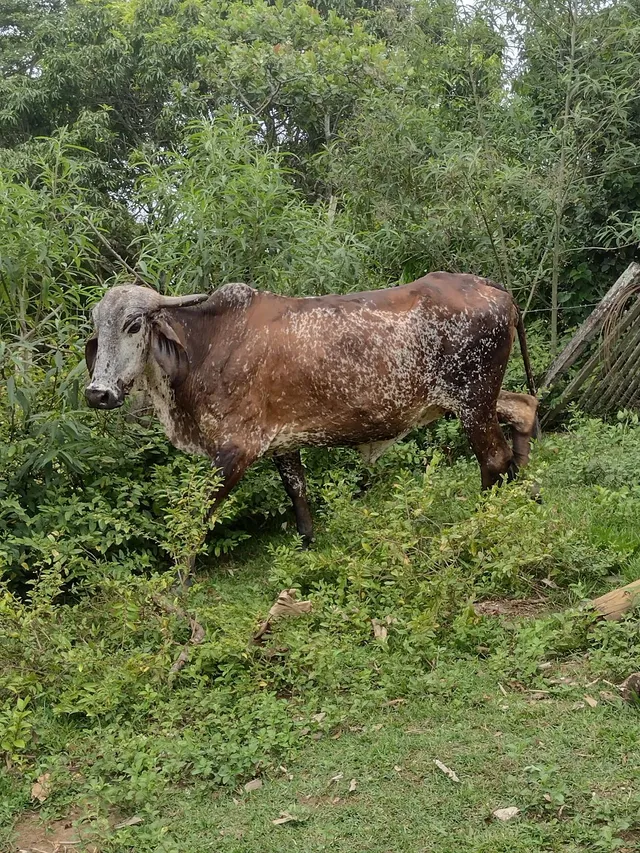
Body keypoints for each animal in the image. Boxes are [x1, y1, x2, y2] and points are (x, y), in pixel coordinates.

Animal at [84, 273, 539, 547]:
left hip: (471, 400)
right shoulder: (283, 442)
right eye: (97, 328)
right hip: (474, 399)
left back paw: (482, 517)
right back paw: (524, 491)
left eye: (133, 325)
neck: (207, 346)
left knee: (493, 457)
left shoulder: (235, 449)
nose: (97, 393)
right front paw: (307, 543)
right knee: (525, 409)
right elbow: (297, 491)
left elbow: (199, 513)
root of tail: (496, 290)